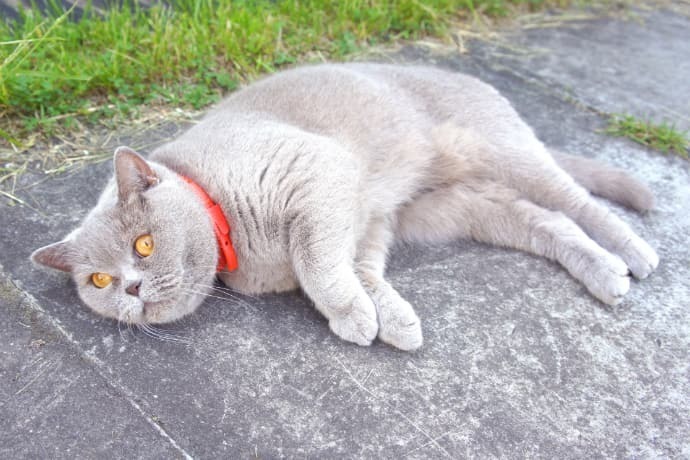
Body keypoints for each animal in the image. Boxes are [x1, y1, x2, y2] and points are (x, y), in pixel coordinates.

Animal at [30, 63, 656, 350]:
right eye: (100, 282)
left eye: (145, 244)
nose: (132, 288)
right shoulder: (369, 220)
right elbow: (359, 269)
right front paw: (390, 318)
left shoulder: (317, 174)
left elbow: (318, 265)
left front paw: (354, 316)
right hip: (453, 207)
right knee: (546, 221)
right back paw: (604, 274)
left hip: (502, 149)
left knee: (575, 200)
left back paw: (634, 255)